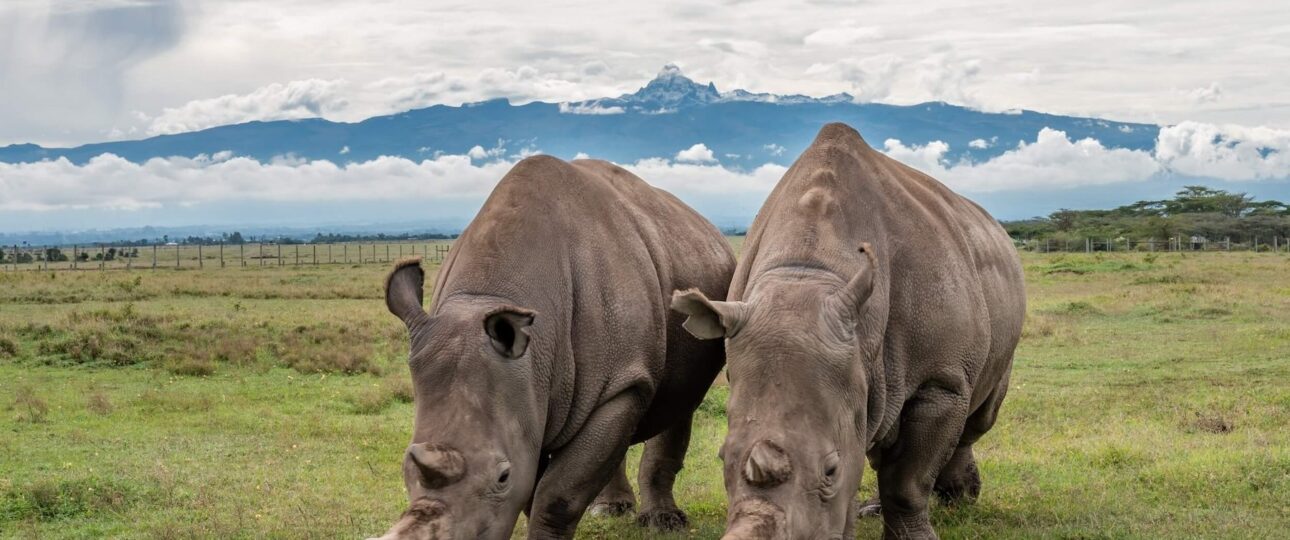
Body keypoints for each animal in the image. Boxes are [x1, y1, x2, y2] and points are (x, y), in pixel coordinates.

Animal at [373, 155, 735, 539]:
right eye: (406, 464)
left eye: (502, 477)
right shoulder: (528, 391)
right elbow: (537, 485)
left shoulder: (618, 383)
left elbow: (557, 494)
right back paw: (610, 510)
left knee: (678, 403)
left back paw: (664, 523)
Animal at [672, 123, 1025, 539]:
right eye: (722, 457)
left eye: (831, 470)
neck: (807, 274)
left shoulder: (941, 380)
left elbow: (908, 480)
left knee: (978, 417)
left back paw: (959, 497)